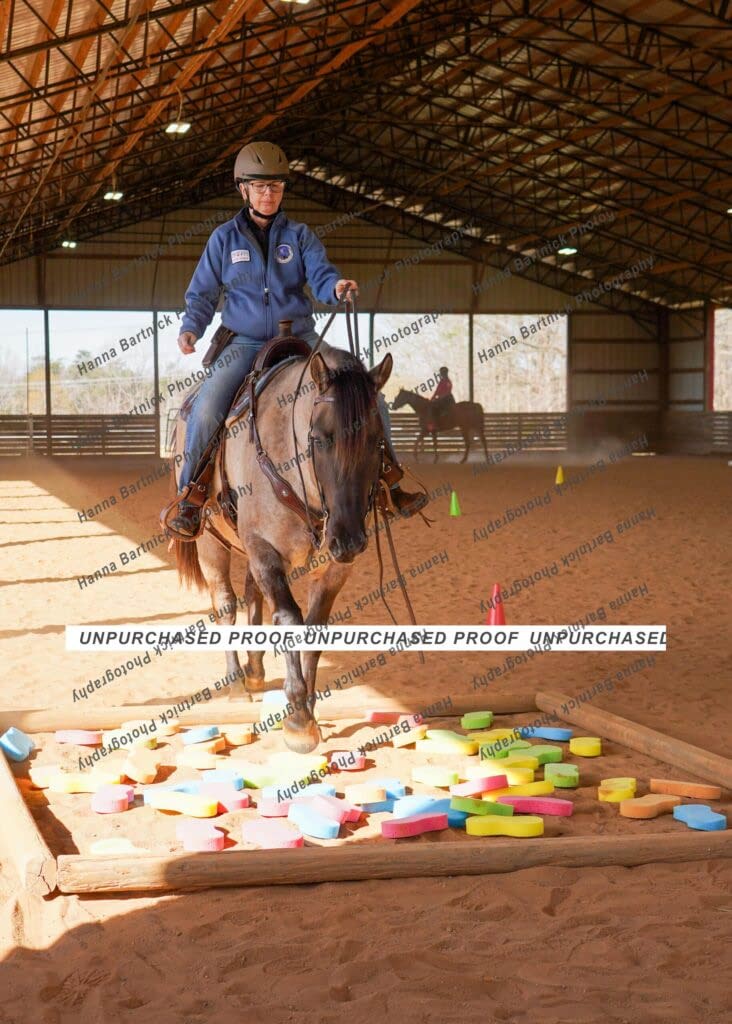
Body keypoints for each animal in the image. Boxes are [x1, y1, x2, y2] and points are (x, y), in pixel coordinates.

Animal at [169, 342, 393, 754]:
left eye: (376, 440)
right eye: (320, 437)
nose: (349, 539)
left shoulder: (332, 569)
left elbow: (314, 628)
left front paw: (311, 709)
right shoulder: (265, 551)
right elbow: (289, 619)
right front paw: (299, 720)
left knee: (251, 595)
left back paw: (256, 672)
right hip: (210, 542)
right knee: (226, 604)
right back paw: (237, 684)